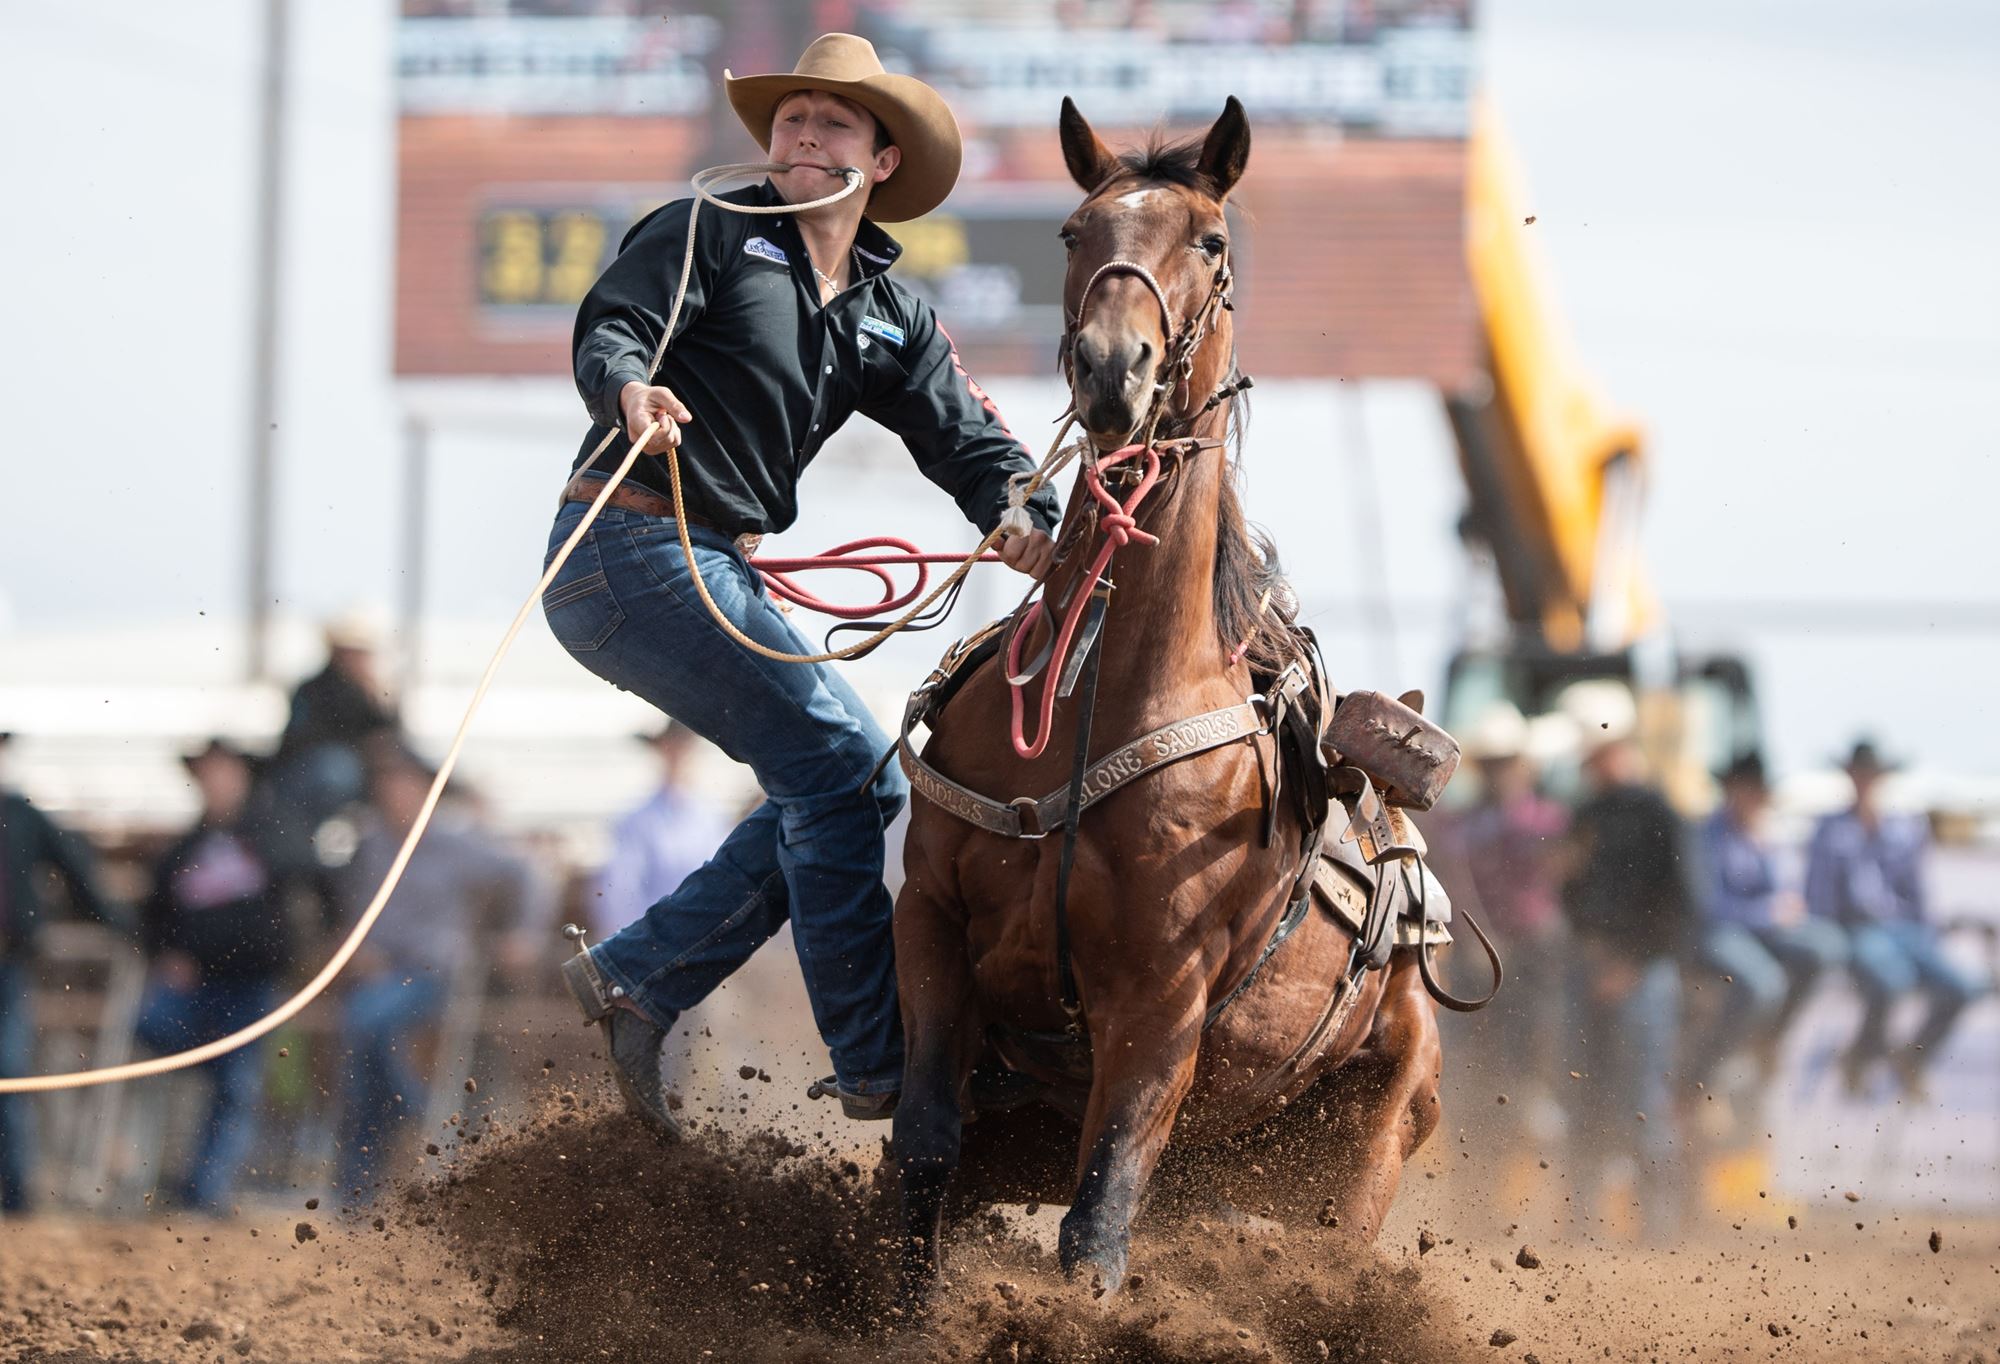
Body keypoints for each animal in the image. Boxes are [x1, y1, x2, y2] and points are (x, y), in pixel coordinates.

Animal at [900, 98, 1448, 1296]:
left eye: (1211, 241)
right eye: (1073, 232)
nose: (1115, 367)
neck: (1096, 694)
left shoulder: (1159, 1003)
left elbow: (1096, 1227)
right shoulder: (931, 924)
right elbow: (919, 1163)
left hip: (1366, 1149)